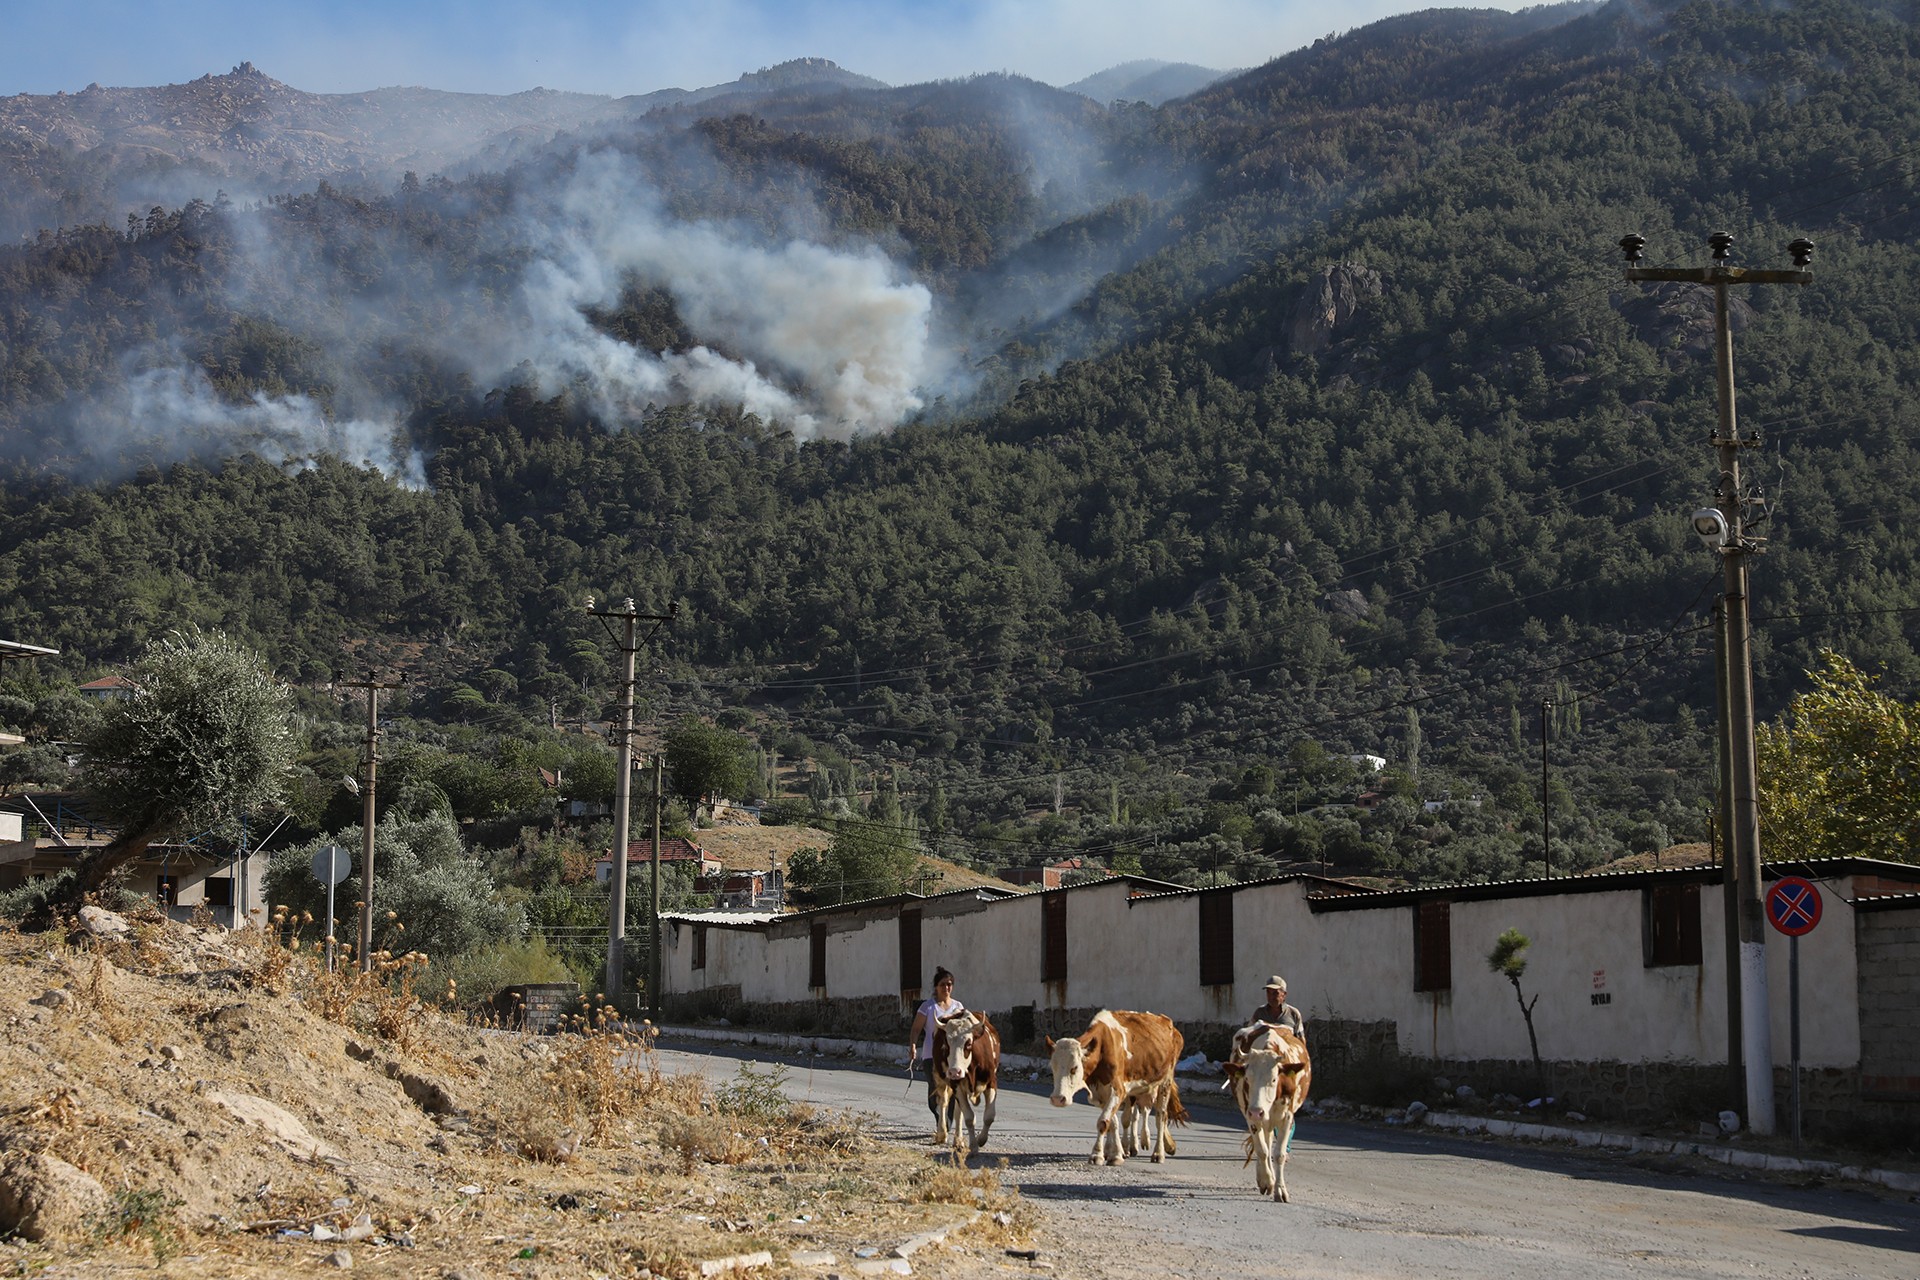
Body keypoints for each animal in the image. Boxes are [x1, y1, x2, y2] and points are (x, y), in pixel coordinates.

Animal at [933, 1013, 1006, 1159]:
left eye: (968, 1043)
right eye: (946, 1044)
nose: (955, 1071)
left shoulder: (991, 1083)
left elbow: (989, 1116)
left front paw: (981, 1140)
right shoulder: (956, 1085)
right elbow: (969, 1118)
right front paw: (974, 1147)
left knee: (957, 1111)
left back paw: (958, 1141)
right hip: (941, 1080)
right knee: (943, 1103)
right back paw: (942, 1134)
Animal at [1052, 1013, 1182, 1166]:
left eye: (1074, 1068)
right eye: (1053, 1067)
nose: (1057, 1099)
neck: (1102, 1049)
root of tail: (1168, 1022)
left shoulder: (1119, 1090)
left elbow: (1103, 1122)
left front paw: (1097, 1155)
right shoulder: (1100, 1094)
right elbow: (1112, 1122)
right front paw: (1115, 1154)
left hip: (1164, 1082)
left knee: (1160, 1116)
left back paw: (1158, 1153)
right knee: (1138, 1114)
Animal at [1221, 1020, 1313, 1205]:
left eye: (1274, 1079)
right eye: (1247, 1079)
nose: (1257, 1111)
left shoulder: (1286, 1118)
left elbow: (1279, 1154)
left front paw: (1280, 1190)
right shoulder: (1250, 1116)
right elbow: (1262, 1150)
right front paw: (1266, 1181)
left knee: (1270, 1142)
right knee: (1264, 1144)